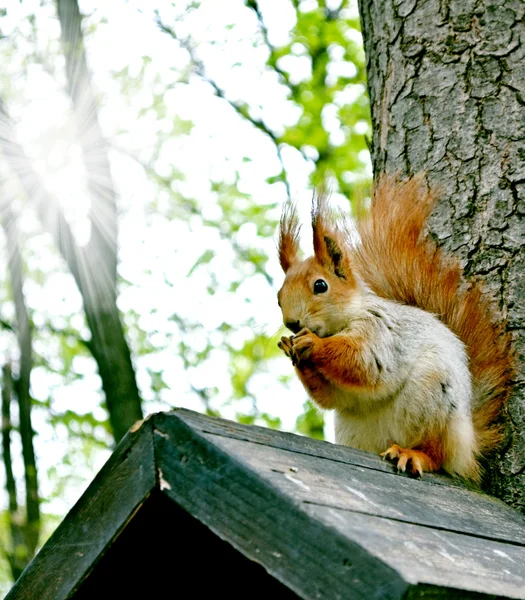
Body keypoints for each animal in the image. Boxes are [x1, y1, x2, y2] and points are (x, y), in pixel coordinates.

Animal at [276, 176, 512, 480]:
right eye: (278, 297)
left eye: (320, 285)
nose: (291, 323)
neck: (345, 318)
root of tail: (469, 443)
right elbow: (331, 396)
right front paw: (289, 346)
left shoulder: (380, 330)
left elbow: (364, 363)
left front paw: (313, 344)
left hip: (435, 395)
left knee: (437, 454)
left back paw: (413, 455)